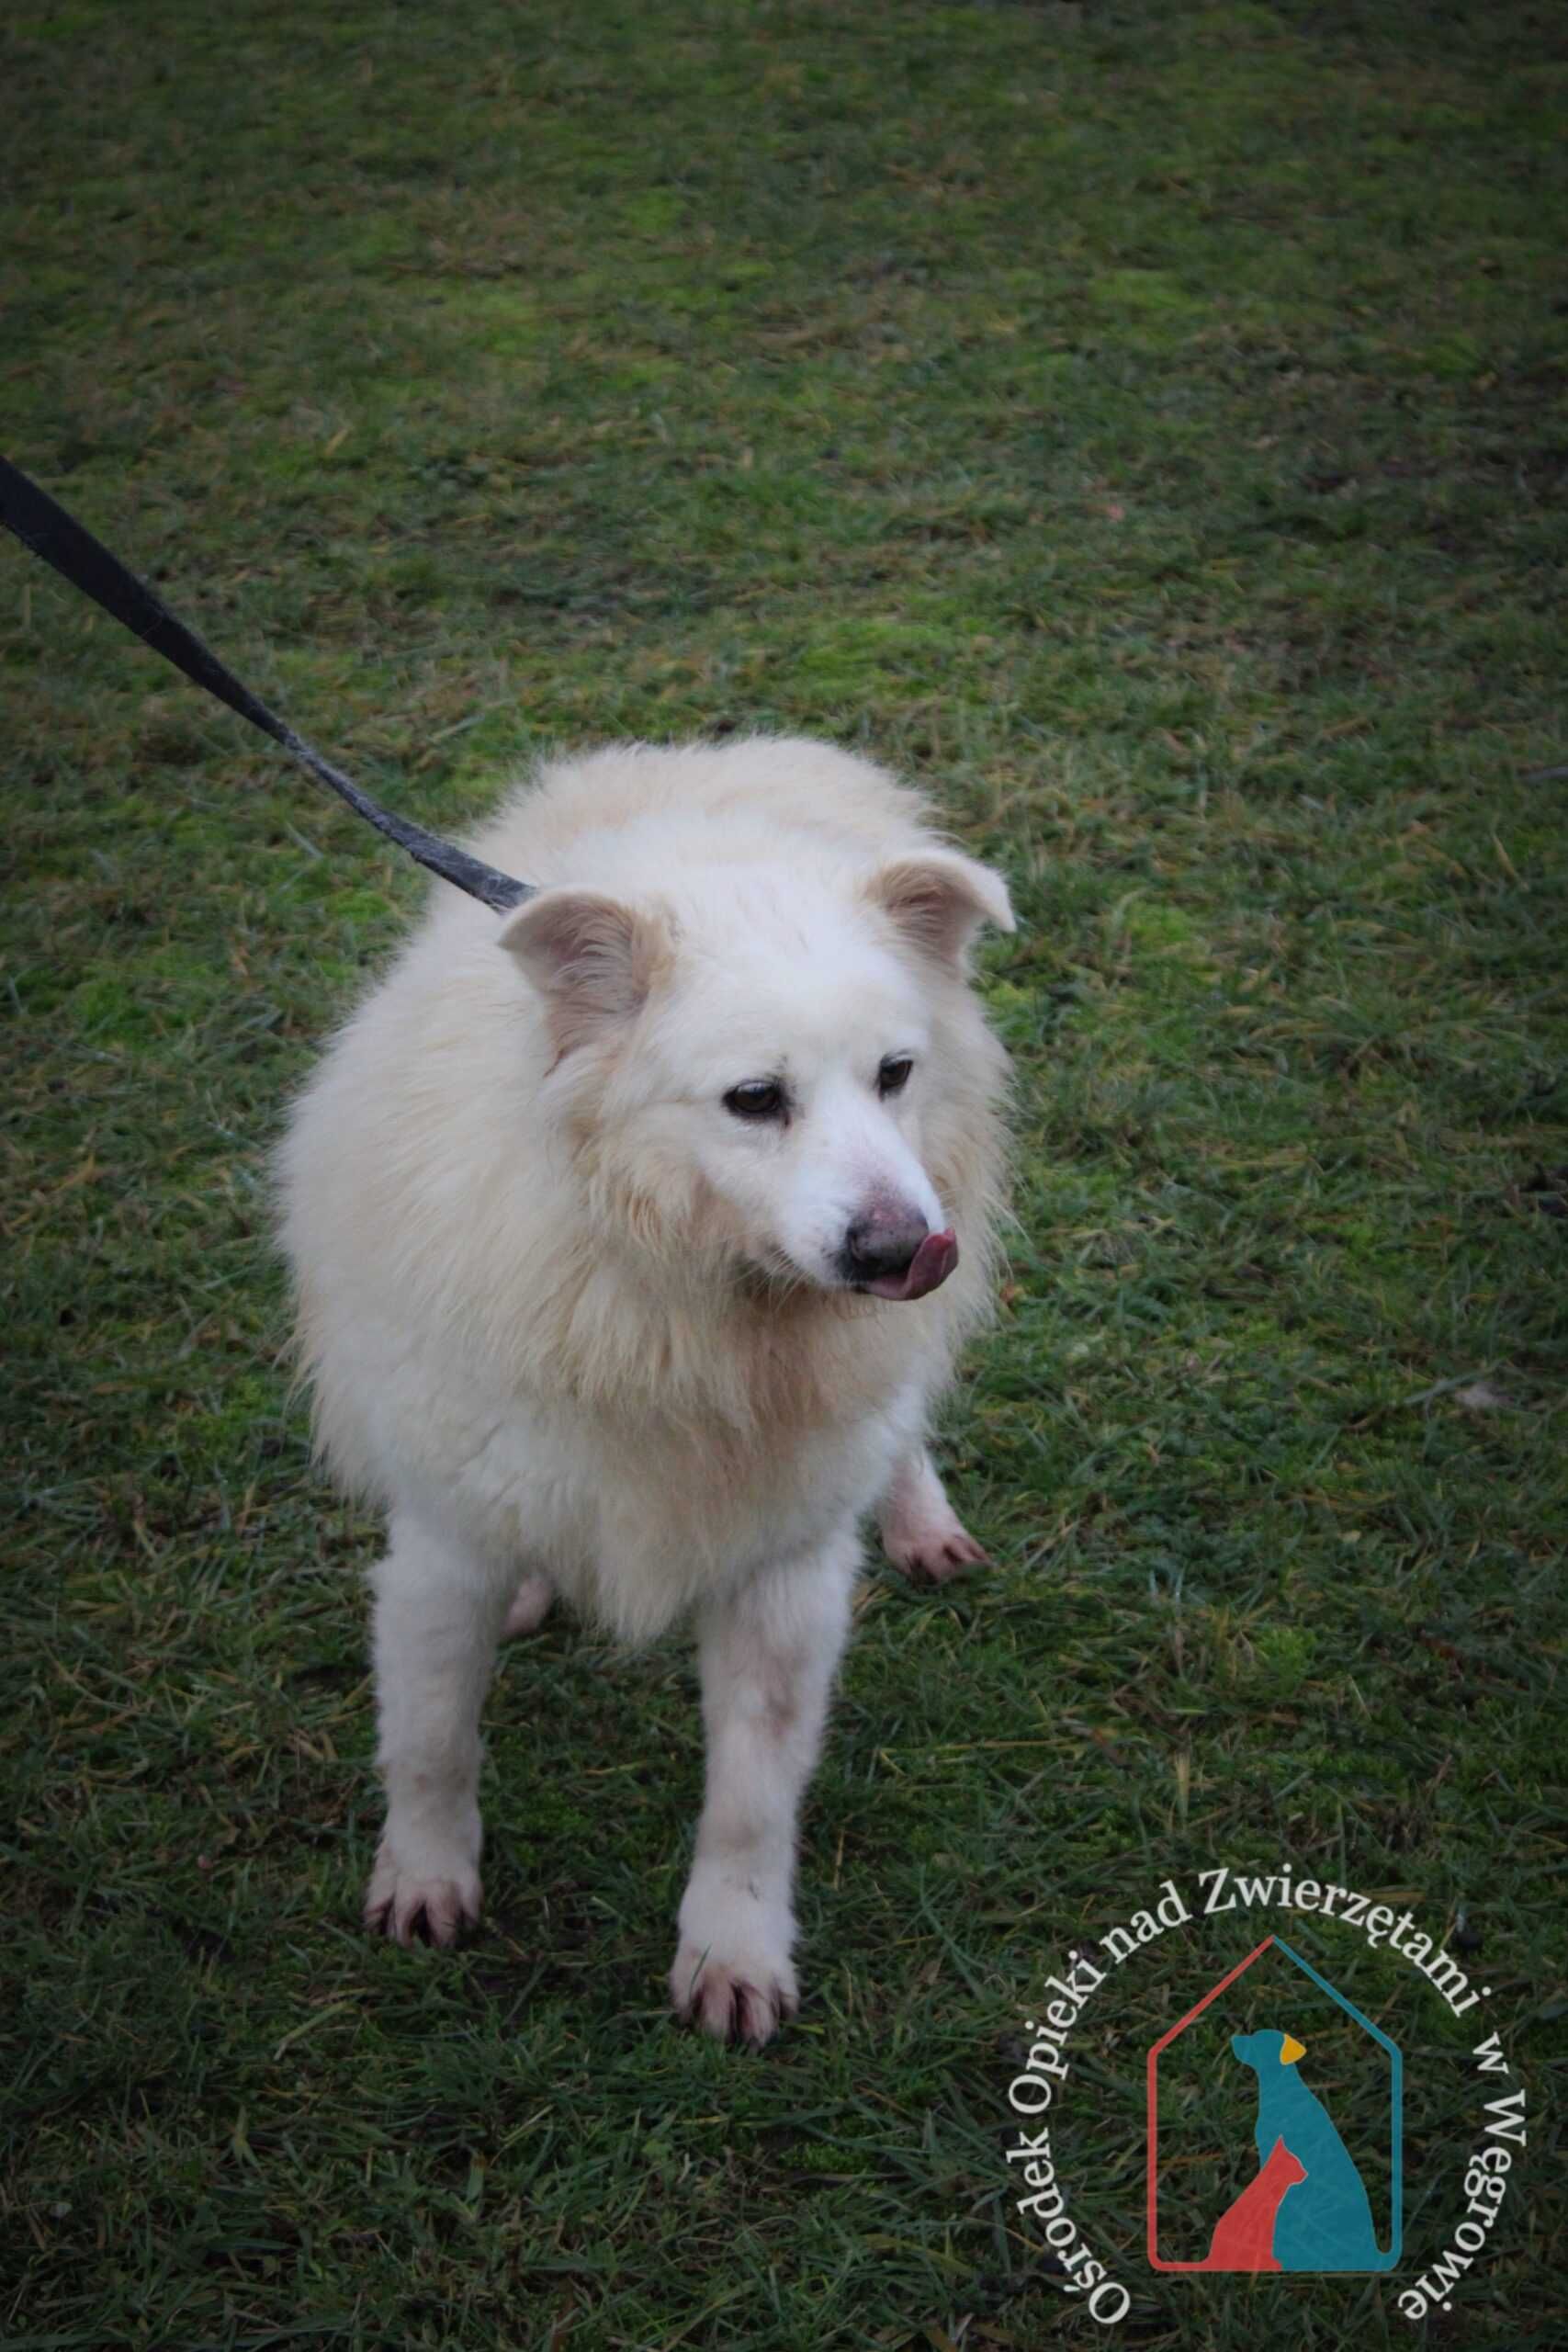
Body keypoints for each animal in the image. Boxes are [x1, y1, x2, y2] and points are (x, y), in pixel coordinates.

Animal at [278, 733, 1020, 2041]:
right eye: (755, 1099)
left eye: (895, 1073)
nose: (906, 1253)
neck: (676, 1299)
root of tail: (731, 753)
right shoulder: (442, 1546)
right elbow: (430, 1742)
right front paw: (424, 1884)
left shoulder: (784, 1570)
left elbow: (751, 1802)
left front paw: (733, 1958)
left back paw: (920, 1515)